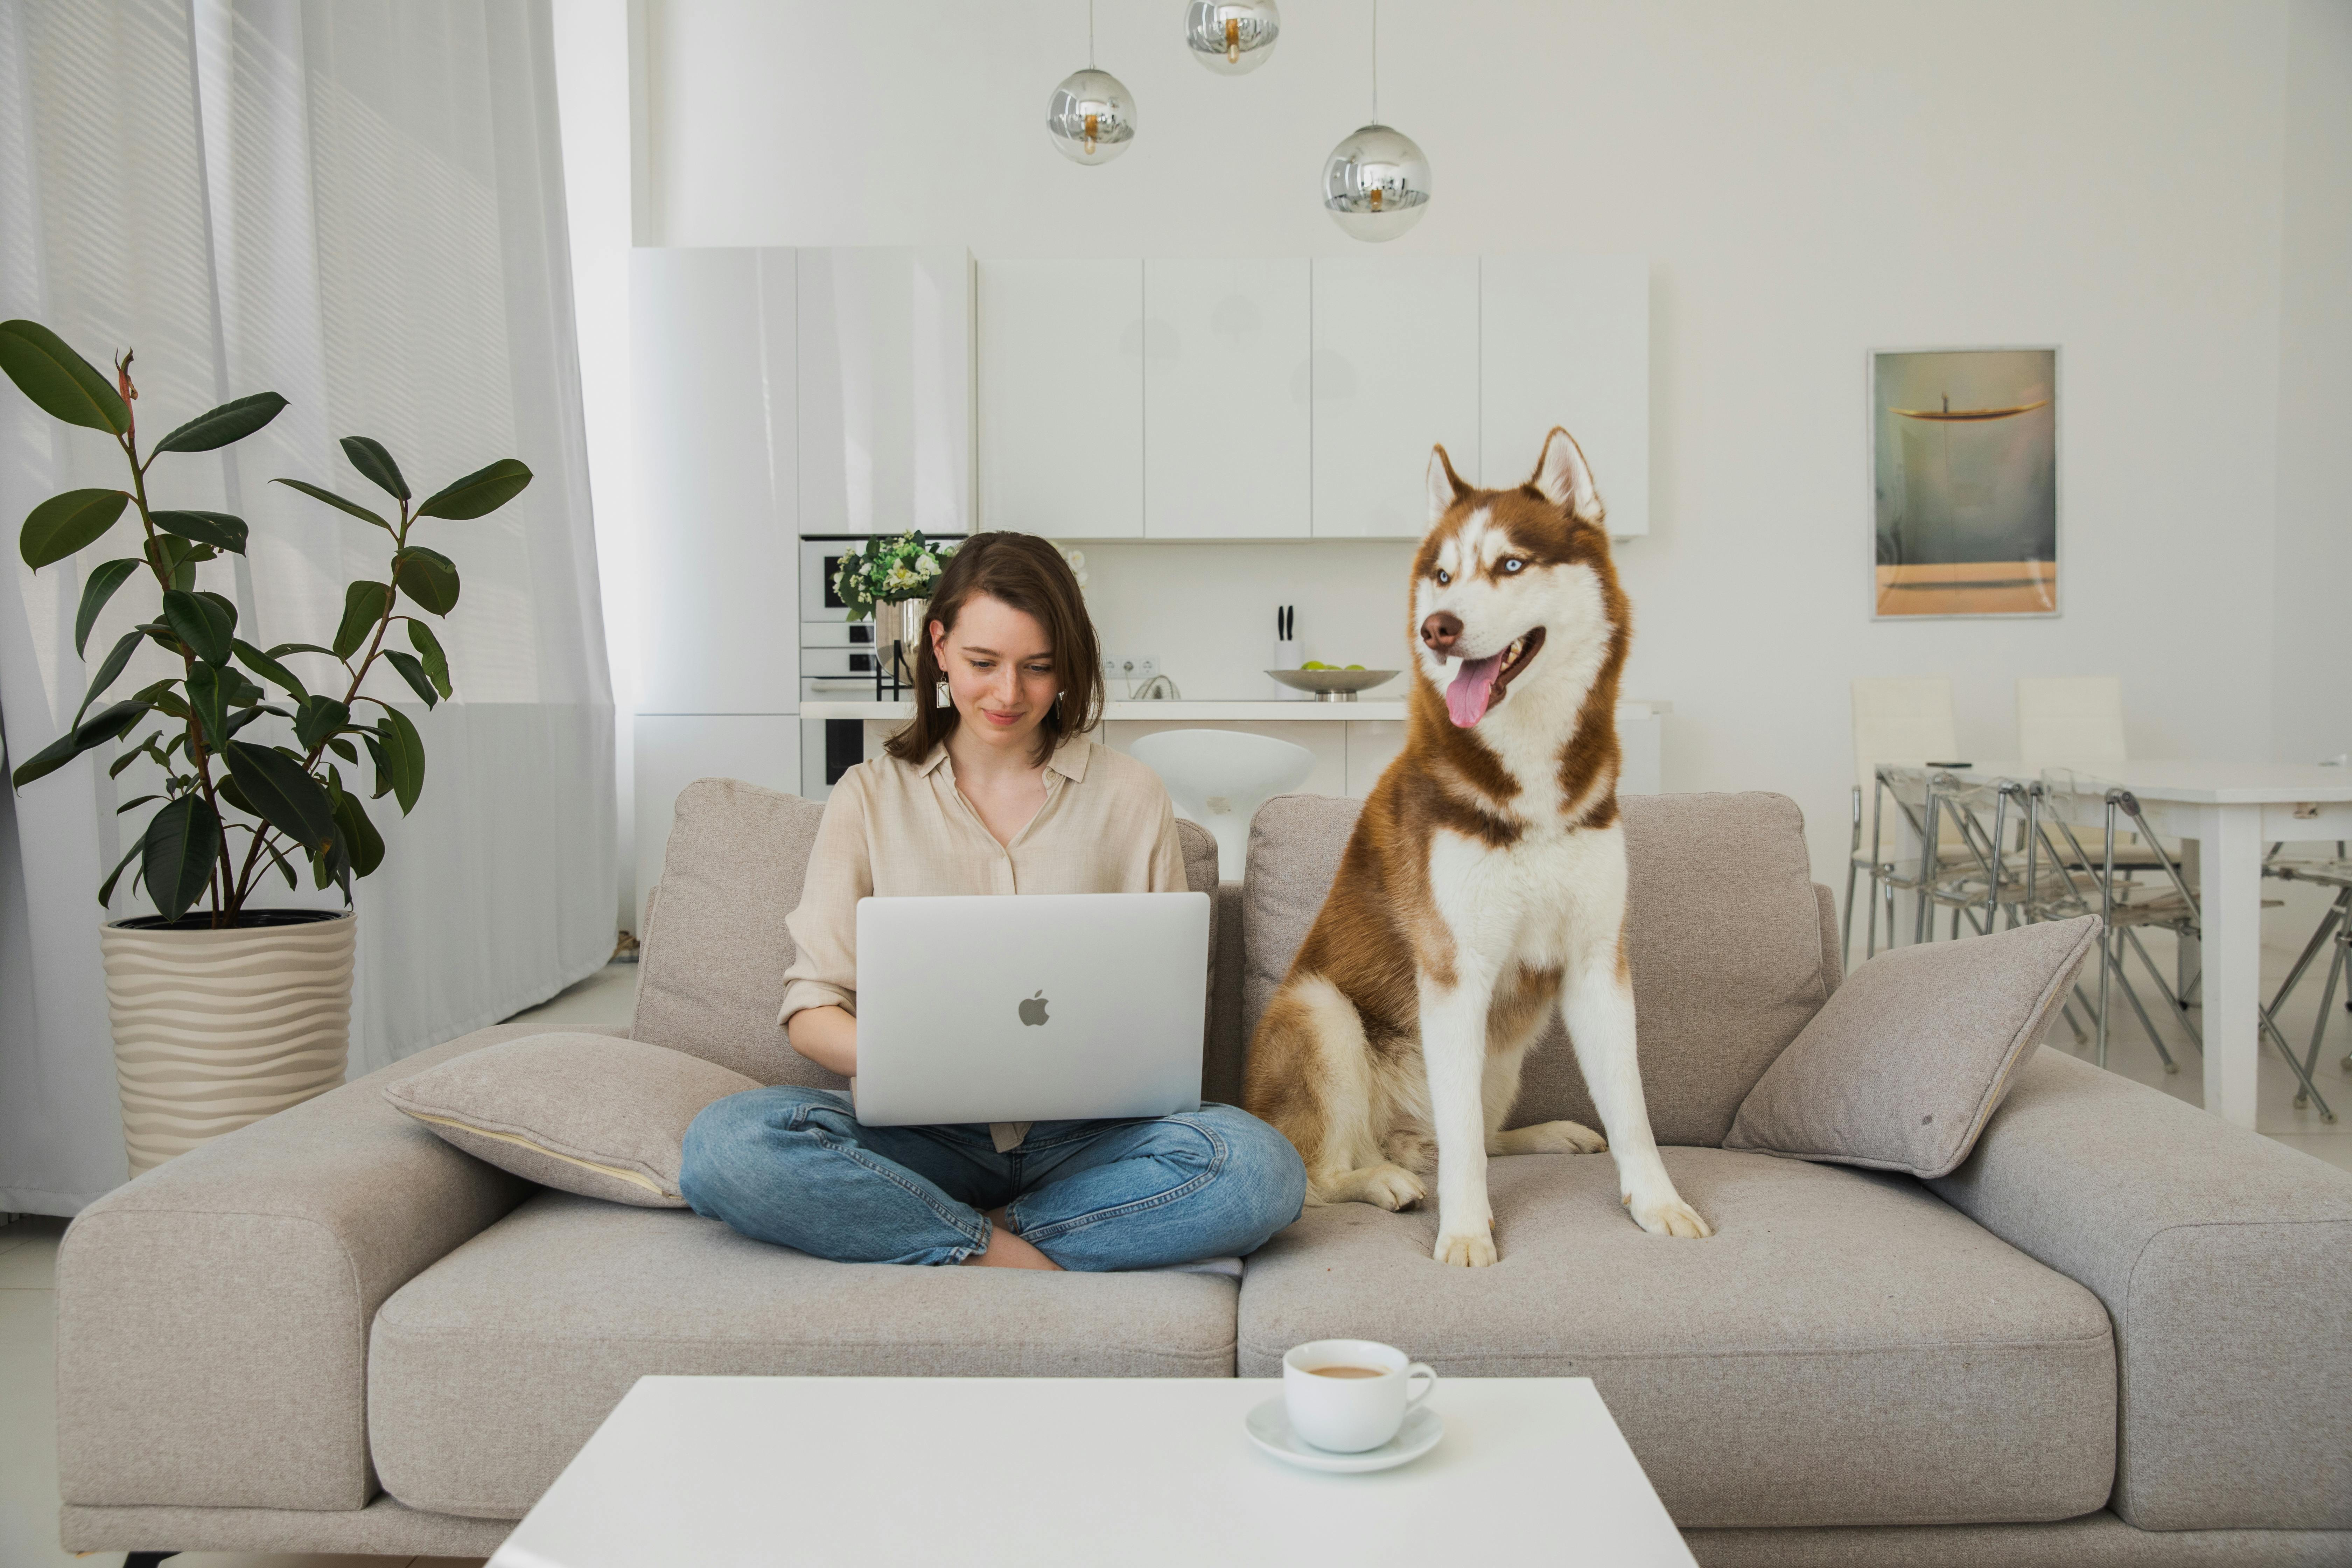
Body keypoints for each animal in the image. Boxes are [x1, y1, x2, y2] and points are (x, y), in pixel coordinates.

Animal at [1251, 425, 1712, 1260]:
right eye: (1442, 574)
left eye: (1511, 564)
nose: (1438, 627)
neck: (1529, 782)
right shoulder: (1454, 969)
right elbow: (1462, 1134)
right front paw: (1466, 1229)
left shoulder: (1597, 964)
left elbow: (1630, 1107)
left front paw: (1657, 1201)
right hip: (1322, 1009)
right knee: (1323, 1170)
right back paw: (1382, 1178)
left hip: (1505, 1048)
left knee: (1471, 1133)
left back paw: (1537, 1135)